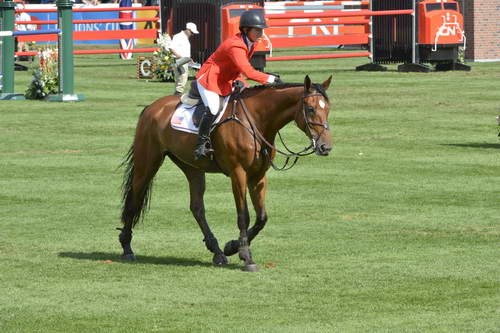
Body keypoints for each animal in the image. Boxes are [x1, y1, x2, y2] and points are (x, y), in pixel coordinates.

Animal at [119, 74, 334, 270]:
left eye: (328, 109)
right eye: (310, 109)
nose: (325, 147)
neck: (257, 120)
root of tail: (152, 107)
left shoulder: (258, 176)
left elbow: (261, 217)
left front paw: (232, 247)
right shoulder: (238, 173)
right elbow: (243, 215)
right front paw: (246, 256)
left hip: (192, 168)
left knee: (197, 208)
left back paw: (218, 253)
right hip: (147, 163)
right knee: (134, 199)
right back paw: (127, 247)